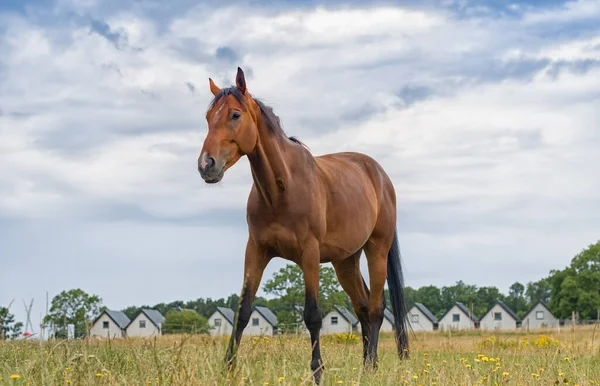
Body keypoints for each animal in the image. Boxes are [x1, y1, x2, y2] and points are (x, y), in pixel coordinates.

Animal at [199, 67, 410, 382]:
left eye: (235, 115)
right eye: (208, 117)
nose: (206, 165)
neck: (281, 190)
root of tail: (380, 176)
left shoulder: (309, 255)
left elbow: (312, 315)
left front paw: (317, 372)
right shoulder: (256, 251)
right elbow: (243, 311)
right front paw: (227, 369)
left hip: (377, 249)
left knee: (375, 308)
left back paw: (371, 368)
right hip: (346, 260)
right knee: (361, 307)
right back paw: (364, 366)